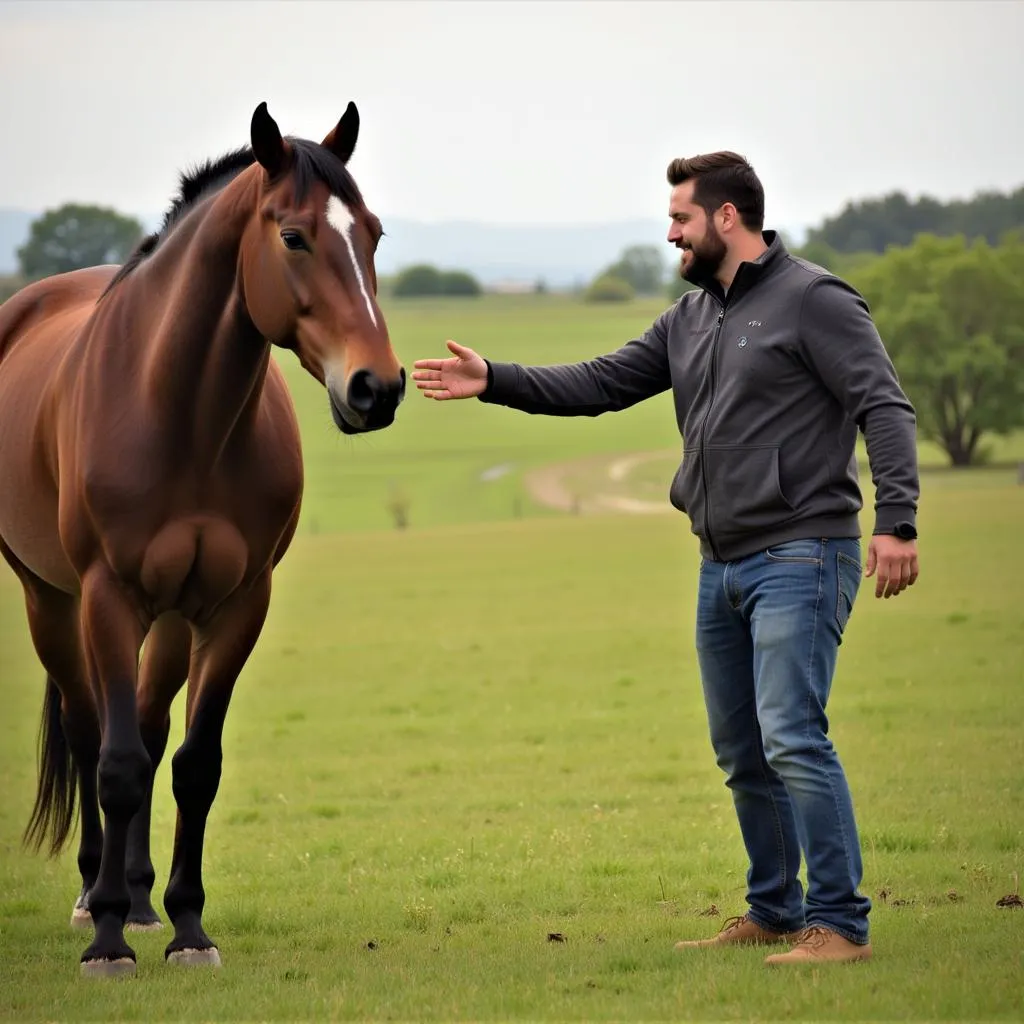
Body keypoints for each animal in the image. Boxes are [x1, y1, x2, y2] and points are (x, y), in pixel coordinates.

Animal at [0, 101, 405, 974]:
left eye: (374, 233)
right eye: (293, 237)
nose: (377, 387)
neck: (181, 414)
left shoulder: (234, 605)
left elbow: (193, 766)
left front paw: (187, 926)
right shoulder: (108, 598)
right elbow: (117, 765)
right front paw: (108, 943)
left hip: (171, 620)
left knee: (151, 733)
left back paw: (141, 900)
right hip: (52, 601)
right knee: (91, 734)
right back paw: (94, 897)